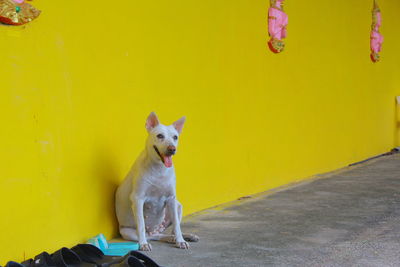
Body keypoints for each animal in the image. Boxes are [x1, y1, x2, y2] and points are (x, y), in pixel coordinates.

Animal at [114, 112, 198, 251]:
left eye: (175, 137)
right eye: (160, 136)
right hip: (128, 232)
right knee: (152, 236)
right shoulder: (138, 199)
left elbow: (176, 225)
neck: (159, 169)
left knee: (170, 231)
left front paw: (180, 241)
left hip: (178, 205)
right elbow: (141, 225)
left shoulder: (171, 198)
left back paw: (183, 237)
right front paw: (143, 244)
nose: (172, 149)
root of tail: (154, 230)